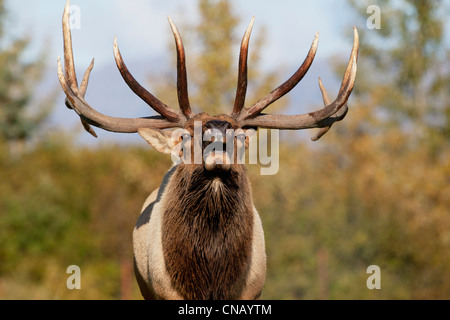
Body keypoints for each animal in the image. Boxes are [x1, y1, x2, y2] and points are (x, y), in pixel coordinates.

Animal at [57, 0, 358, 300]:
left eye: (240, 137)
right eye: (186, 137)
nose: (216, 140)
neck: (210, 280)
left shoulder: (252, 291)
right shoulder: (164, 292)